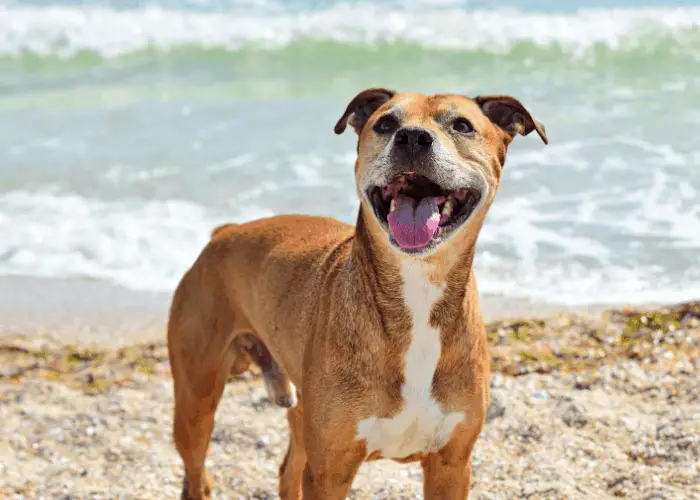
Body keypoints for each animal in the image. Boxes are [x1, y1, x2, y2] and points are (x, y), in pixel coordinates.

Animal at [168, 88, 548, 498]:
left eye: (462, 125)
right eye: (386, 123)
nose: (413, 138)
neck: (418, 289)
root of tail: (224, 232)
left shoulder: (451, 465)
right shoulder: (330, 471)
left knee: (287, 470)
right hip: (196, 402)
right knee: (196, 470)